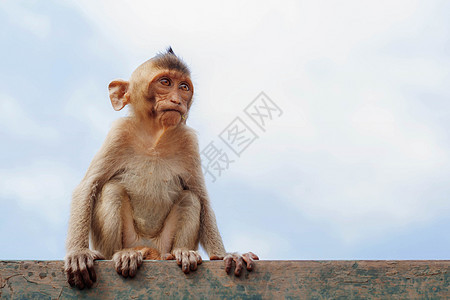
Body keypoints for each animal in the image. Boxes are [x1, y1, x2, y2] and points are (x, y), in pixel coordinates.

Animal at [64, 48, 258, 290]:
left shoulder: (188, 141)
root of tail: (150, 248)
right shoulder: (119, 134)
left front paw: (225, 255)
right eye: (165, 82)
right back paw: (127, 253)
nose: (176, 100)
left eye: (183, 87)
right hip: (128, 239)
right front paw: (78, 254)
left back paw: (180, 254)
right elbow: (88, 186)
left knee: (190, 199)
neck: (154, 136)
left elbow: (202, 198)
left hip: (163, 242)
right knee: (111, 190)